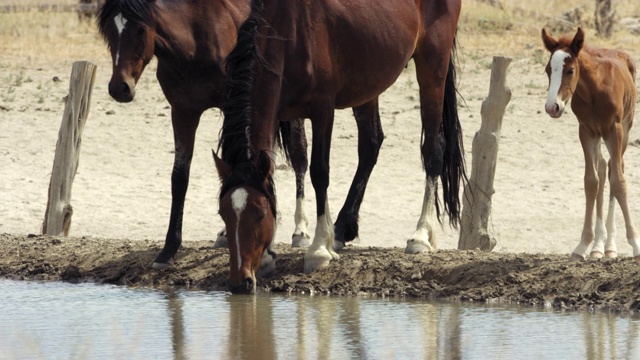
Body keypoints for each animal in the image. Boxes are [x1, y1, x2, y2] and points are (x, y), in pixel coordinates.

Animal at [97, 0, 312, 270]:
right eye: (109, 31)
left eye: (140, 30)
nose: (119, 88)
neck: (192, 43)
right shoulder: (183, 113)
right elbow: (180, 178)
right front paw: (168, 250)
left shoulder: (233, 108)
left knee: (299, 158)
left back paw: (300, 230)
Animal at [215, 0, 464, 292]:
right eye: (224, 214)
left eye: (259, 214)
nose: (239, 282)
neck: (288, 32)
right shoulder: (280, 113)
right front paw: (267, 257)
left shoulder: (323, 109)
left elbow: (319, 173)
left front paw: (318, 250)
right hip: (369, 84)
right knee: (370, 145)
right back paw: (344, 228)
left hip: (432, 65)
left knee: (433, 151)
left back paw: (420, 235)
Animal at [544, 27, 636, 258]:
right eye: (548, 70)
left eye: (570, 71)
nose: (552, 107)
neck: (594, 91)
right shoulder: (586, 131)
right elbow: (591, 181)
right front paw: (583, 244)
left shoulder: (614, 130)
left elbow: (619, 182)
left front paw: (635, 243)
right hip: (598, 135)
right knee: (602, 168)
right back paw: (598, 247)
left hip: (625, 129)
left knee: (614, 167)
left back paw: (610, 247)